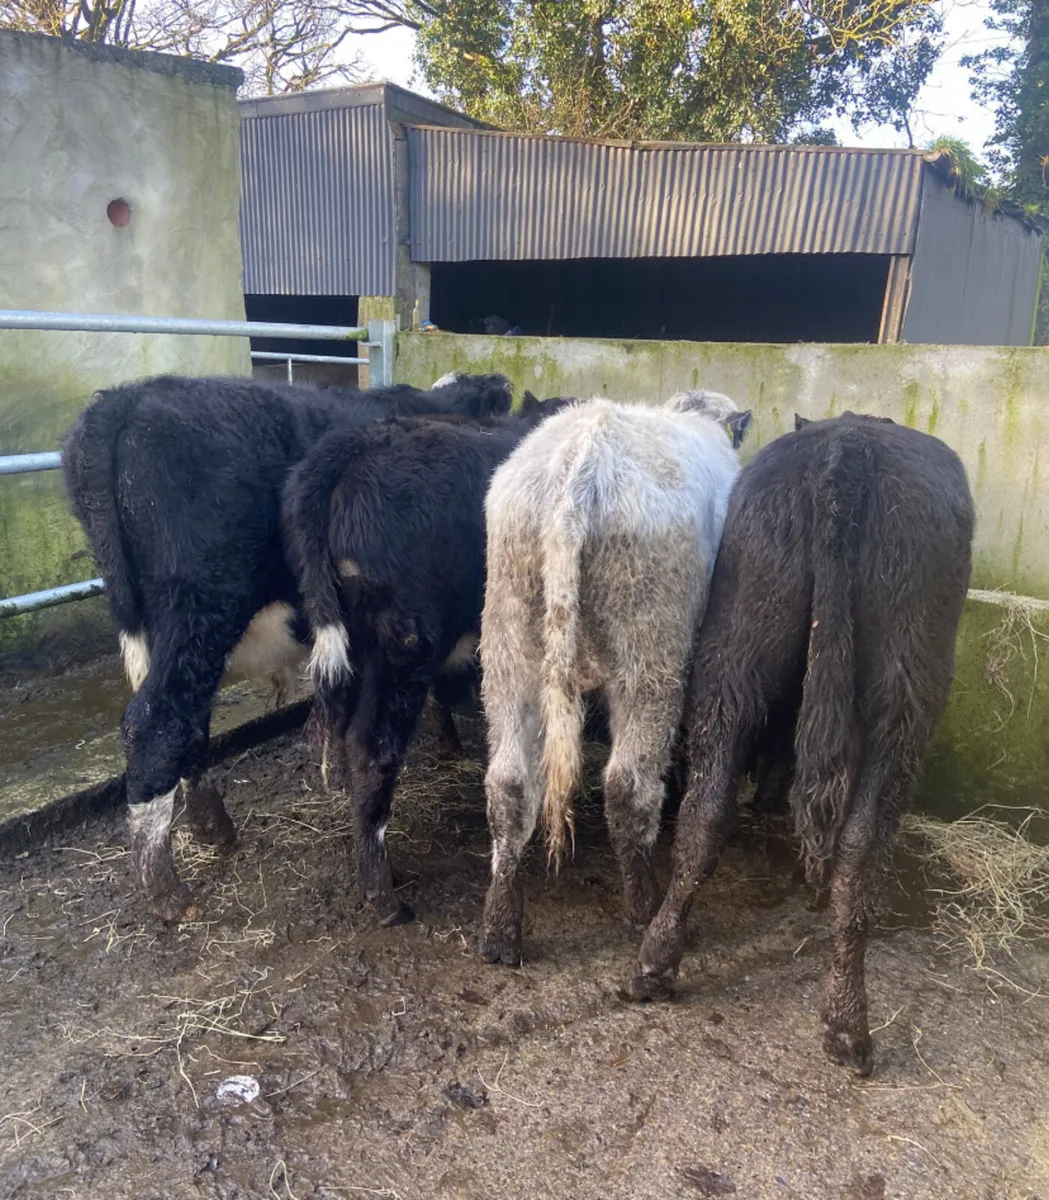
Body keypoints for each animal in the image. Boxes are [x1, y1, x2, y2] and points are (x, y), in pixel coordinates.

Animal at [62, 371, 514, 923]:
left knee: (187, 721)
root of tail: (128, 398)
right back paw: (170, 892)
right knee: (157, 724)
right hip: (201, 606)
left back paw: (211, 827)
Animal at [476, 391, 753, 967]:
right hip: (651, 653)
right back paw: (644, 908)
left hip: (509, 644)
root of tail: (582, 458)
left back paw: (500, 931)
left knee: (509, 786)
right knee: (629, 786)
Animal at [626, 412, 975, 1077]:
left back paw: (659, 964)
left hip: (744, 652)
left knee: (711, 815)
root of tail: (850, 444)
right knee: (852, 840)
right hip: (897, 687)